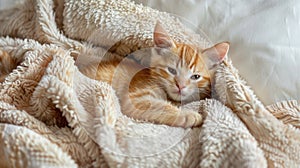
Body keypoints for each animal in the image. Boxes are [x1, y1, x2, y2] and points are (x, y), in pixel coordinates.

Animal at [80, 22, 230, 127]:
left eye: (195, 77)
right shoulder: (136, 98)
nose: (180, 86)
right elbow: (161, 105)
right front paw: (187, 114)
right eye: (171, 70)